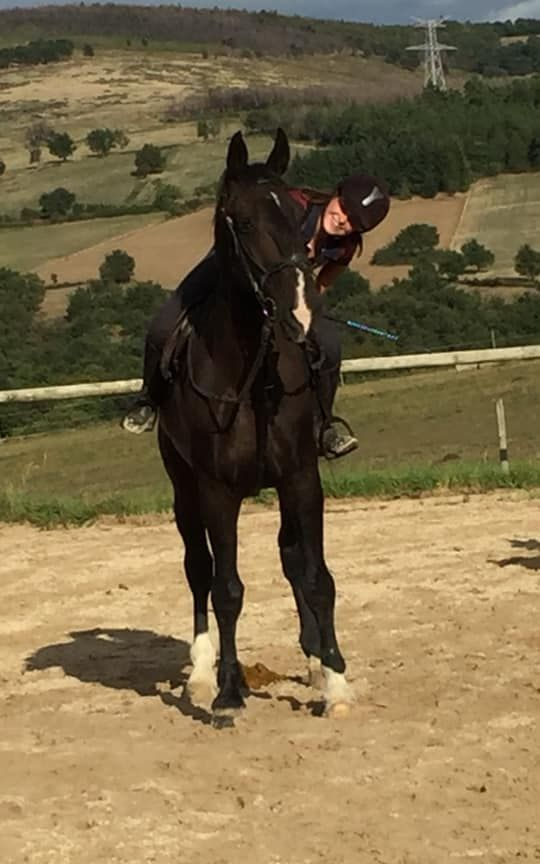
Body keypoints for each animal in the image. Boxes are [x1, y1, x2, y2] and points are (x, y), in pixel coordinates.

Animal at [157, 128, 354, 721]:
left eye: (296, 219)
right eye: (241, 222)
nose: (301, 313)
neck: (249, 378)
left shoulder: (300, 479)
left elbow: (315, 575)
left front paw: (335, 679)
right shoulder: (217, 492)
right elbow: (226, 589)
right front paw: (227, 691)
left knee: (290, 557)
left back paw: (311, 660)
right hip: (184, 490)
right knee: (199, 568)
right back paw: (203, 672)